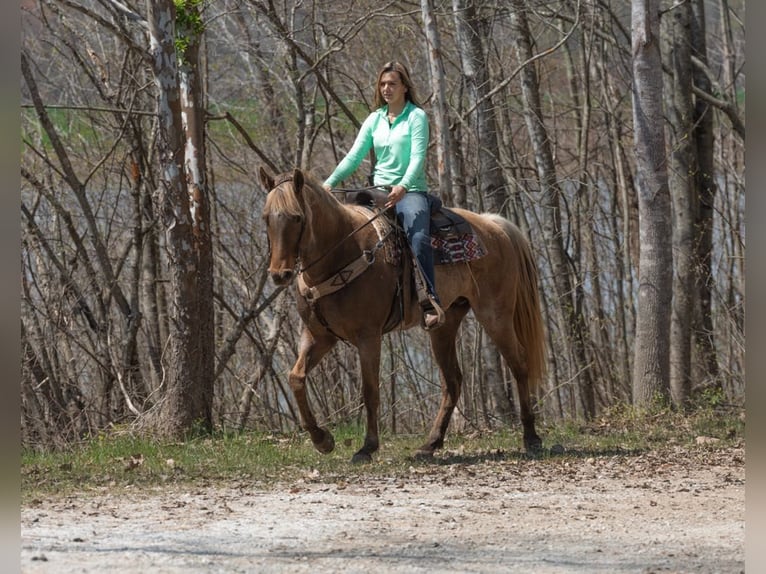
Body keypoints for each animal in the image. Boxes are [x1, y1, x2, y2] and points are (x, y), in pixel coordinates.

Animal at [259, 167, 546, 463]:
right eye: (266, 217)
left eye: (297, 217)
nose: (280, 274)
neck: (342, 250)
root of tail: (494, 225)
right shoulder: (319, 336)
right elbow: (296, 378)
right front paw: (322, 440)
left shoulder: (368, 336)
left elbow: (370, 390)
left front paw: (367, 447)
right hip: (445, 324)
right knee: (453, 380)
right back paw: (430, 443)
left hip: (495, 315)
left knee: (519, 363)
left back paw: (531, 437)